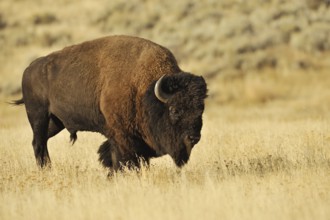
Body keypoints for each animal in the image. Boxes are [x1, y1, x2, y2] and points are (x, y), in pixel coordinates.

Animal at [14, 35, 209, 171]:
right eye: (175, 110)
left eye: (200, 110)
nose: (193, 138)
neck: (144, 88)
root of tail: (29, 69)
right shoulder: (122, 136)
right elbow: (121, 159)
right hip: (39, 116)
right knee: (38, 143)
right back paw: (45, 169)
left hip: (55, 122)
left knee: (42, 141)